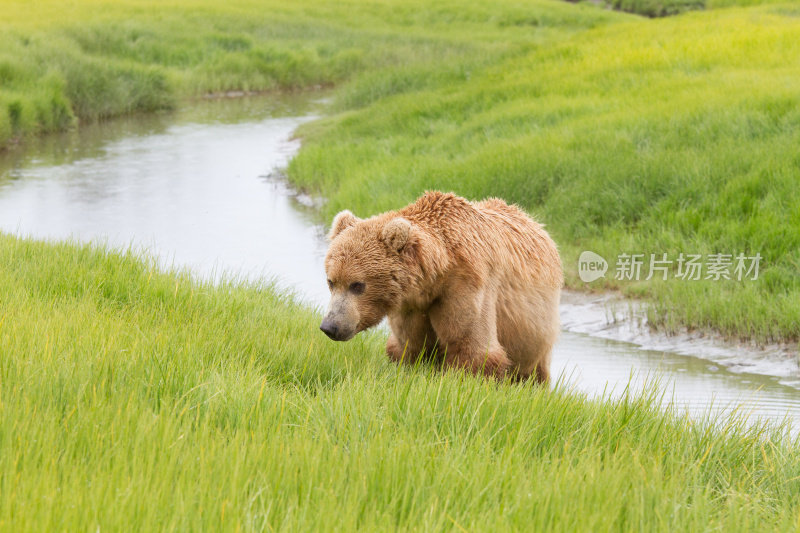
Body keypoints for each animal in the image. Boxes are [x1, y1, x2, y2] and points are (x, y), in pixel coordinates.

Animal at [318, 191, 564, 382]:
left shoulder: (468, 285)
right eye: (331, 281)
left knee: (534, 371)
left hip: (535, 329)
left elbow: (471, 346)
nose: (330, 326)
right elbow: (411, 345)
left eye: (358, 285)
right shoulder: (411, 305)